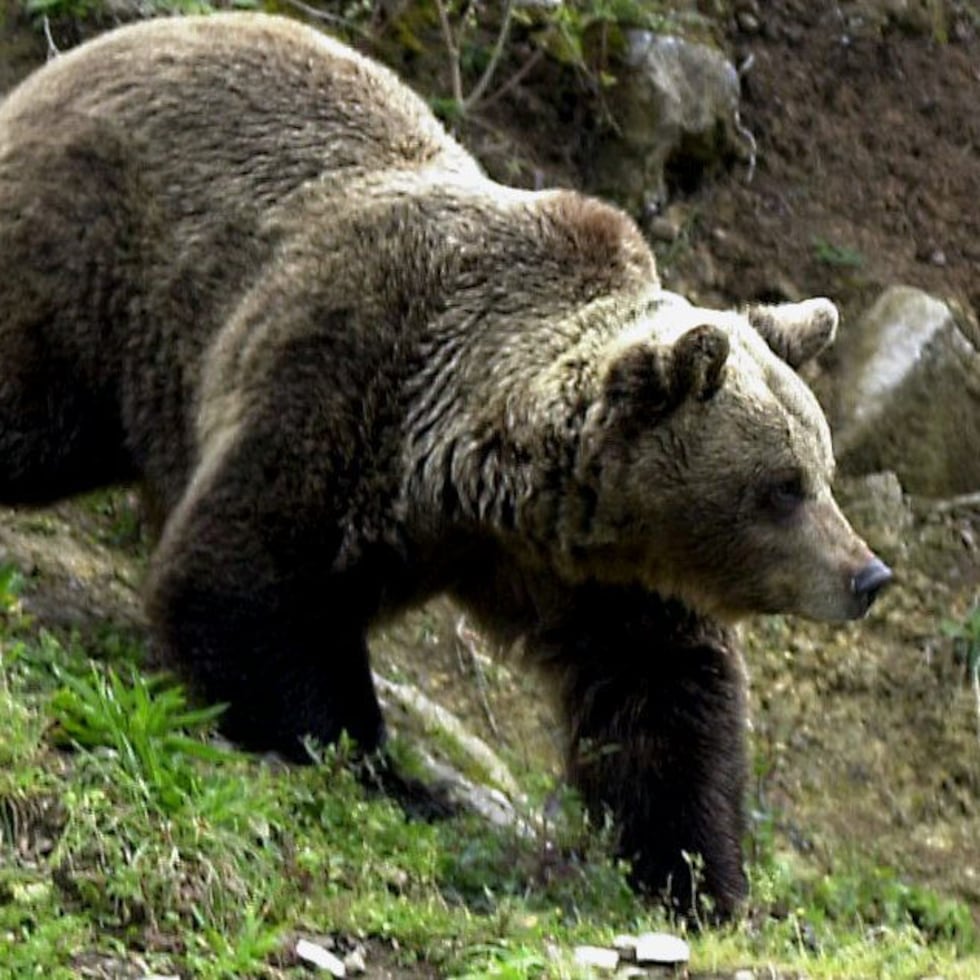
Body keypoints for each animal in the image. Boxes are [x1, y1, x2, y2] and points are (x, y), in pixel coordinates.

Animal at [0, 13, 892, 919]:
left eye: (820, 469)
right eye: (782, 487)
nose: (867, 575)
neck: (475, 478)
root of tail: (78, 57)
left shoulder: (595, 570)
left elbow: (667, 696)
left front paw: (700, 877)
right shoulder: (341, 380)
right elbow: (242, 581)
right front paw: (386, 773)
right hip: (95, 274)